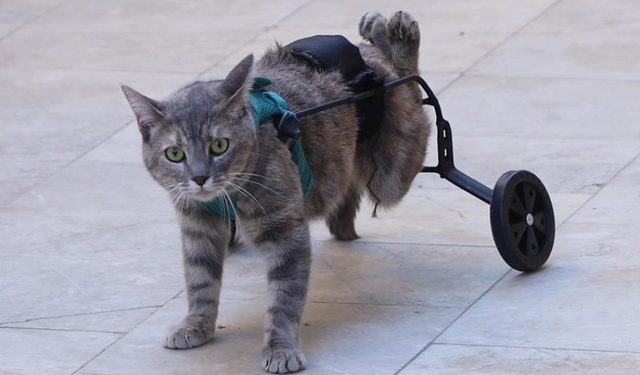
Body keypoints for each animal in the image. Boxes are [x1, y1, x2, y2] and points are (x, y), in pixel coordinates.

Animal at [120, 10, 430, 374]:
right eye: (174, 153)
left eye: (219, 145)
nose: (199, 177)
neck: (227, 196)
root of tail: (367, 57)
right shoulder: (197, 227)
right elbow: (199, 280)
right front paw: (196, 323)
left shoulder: (286, 233)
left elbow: (283, 298)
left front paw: (281, 347)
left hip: (393, 169)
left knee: (412, 87)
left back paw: (395, 35)